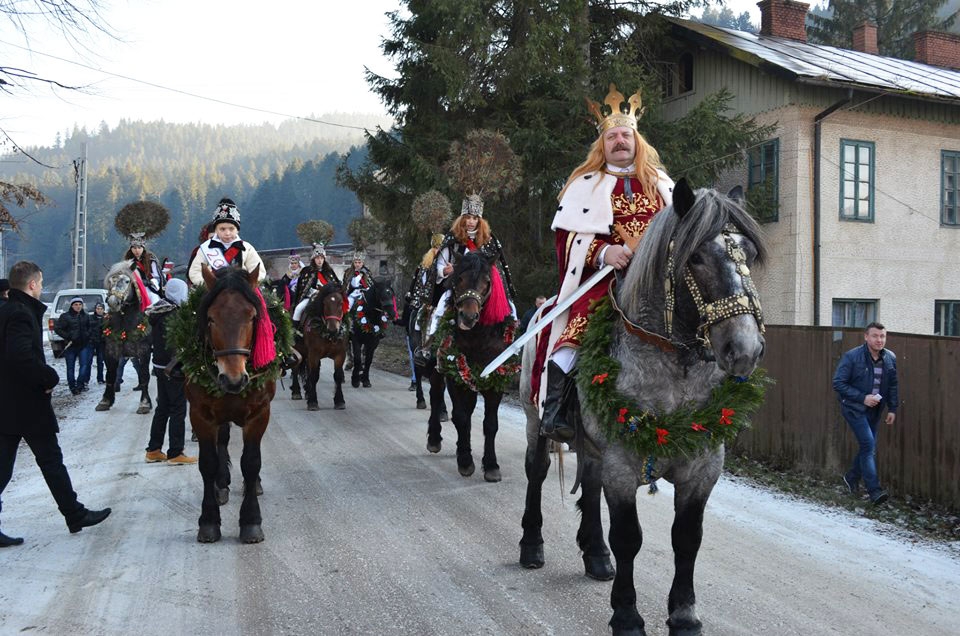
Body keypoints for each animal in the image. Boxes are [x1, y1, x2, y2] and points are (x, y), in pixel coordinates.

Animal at [95, 260, 154, 414]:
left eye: (127, 281)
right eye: (110, 281)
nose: (113, 302)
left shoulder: (144, 351)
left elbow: (145, 375)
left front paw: (144, 403)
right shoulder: (110, 351)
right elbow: (110, 375)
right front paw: (105, 400)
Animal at [184, 264, 276, 540]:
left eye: (252, 317)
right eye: (211, 318)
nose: (233, 380)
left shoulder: (259, 413)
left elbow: (251, 462)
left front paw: (251, 521)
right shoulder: (200, 415)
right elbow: (208, 463)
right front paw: (209, 520)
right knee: (222, 441)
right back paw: (221, 484)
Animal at [292, 282, 352, 410]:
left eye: (341, 303)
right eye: (325, 303)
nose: (333, 330)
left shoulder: (340, 354)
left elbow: (337, 376)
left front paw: (339, 401)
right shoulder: (314, 354)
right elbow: (314, 376)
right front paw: (312, 402)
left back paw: (307, 391)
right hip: (298, 349)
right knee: (295, 368)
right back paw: (296, 392)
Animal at [430, 253, 516, 482]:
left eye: (487, 282)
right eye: (459, 279)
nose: (468, 317)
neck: (478, 337)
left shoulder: (495, 379)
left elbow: (490, 424)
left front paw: (492, 465)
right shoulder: (454, 377)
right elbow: (460, 417)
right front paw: (466, 462)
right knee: (436, 397)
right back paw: (434, 439)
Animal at [516, 180, 764, 636]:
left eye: (750, 254)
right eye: (696, 256)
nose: (744, 350)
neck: (671, 365)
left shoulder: (702, 467)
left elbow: (687, 538)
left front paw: (684, 613)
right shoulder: (622, 462)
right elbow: (629, 538)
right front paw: (627, 615)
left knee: (589, 480)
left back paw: (595, 555)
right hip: (533, 419)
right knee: (536, 473)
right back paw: (531, 545)